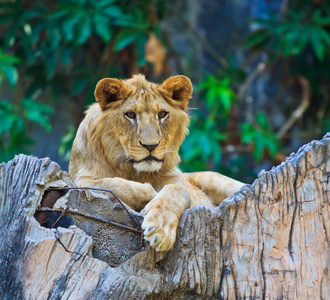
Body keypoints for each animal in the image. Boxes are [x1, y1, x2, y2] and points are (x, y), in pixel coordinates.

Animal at [69, 74, 245, 252]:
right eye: (130, 115)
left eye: (162, 114)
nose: (150, 145)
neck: (134, 171)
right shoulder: (79, 179)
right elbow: (111, 184)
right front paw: (151, 192)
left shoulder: (176, 182)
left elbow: (176, 192)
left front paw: (159, 229)